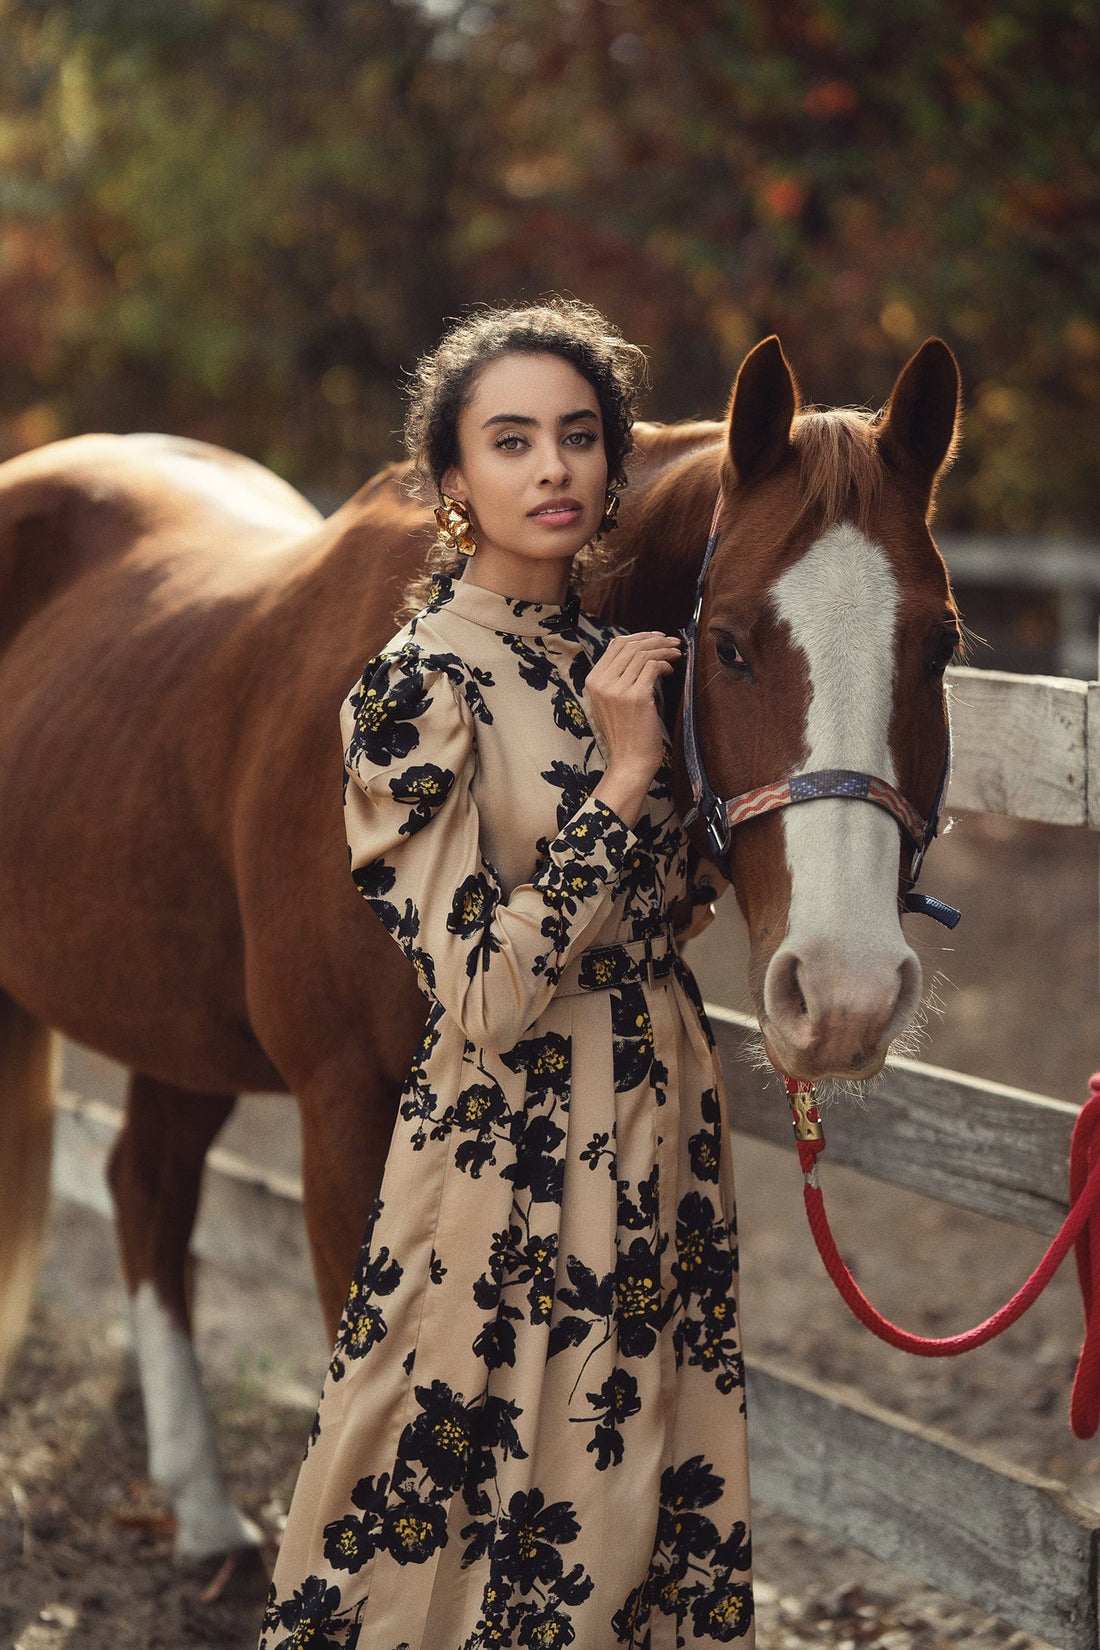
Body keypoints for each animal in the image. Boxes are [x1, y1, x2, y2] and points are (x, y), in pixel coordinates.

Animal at [0, 338, 963, 1557]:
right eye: (733, 643)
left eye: (939, 647)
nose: (843, 995)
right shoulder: (343, 1105)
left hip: (179, 1016)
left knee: (146, 1185)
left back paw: (204, 1511)